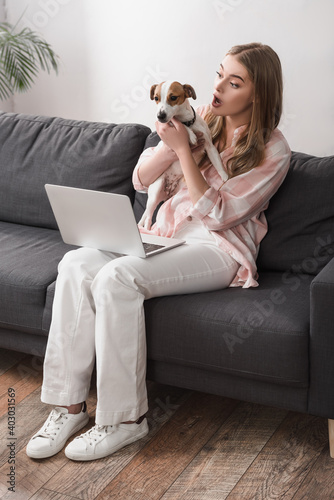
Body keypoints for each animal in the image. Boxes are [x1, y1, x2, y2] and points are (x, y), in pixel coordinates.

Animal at [137, 80, 228, 230]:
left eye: (173, 97)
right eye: (156, 98)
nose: (159, 116)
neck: (188, 122)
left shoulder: (210, 147)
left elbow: (218, 165)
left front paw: (226, 177)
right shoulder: (172, 127)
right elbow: (179, 125)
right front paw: (190, 135)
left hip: (181, 187)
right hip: (156, 190)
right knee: (149, 216)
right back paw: (147, 227)